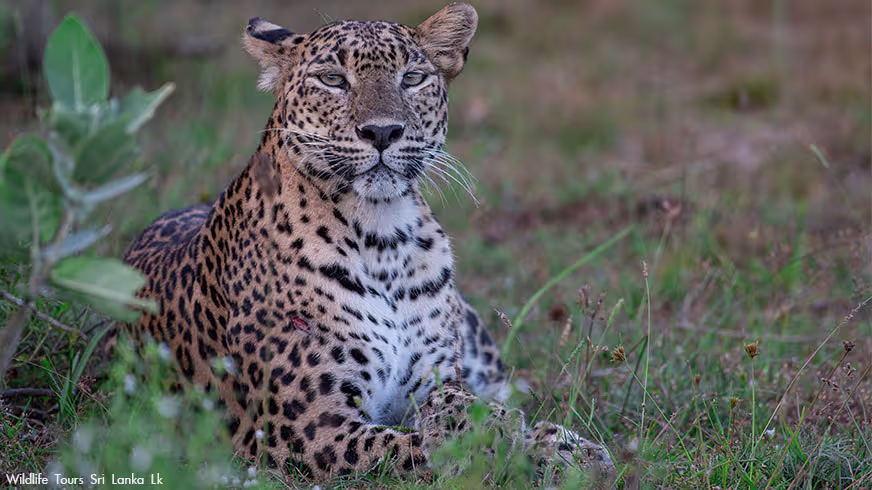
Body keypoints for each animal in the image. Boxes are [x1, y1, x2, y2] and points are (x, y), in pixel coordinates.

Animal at [116, 2, 616, 484]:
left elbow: (454, 401)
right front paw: (496, 441)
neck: (383, 238)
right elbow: (408, 448)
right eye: (333, 80)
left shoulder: (434, 374)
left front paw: (559, 446)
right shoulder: (309, 430)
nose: (382, 132)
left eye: (411, 78)